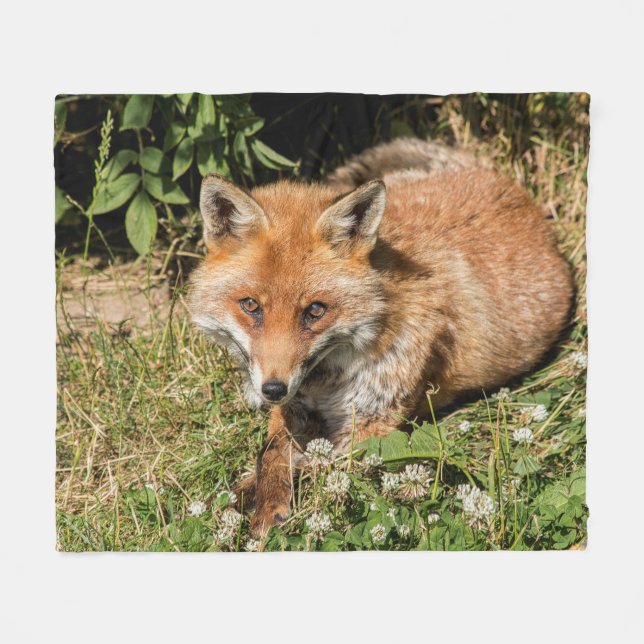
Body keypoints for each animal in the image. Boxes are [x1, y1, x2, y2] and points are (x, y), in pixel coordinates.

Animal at [188, 137, 573, 535]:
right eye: (250, 306)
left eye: (316, 311)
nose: (273, 389)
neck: (330, 377)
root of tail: (499, 179)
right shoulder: (293, 406)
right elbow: (271, 453)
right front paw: (250, 497)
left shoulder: (373, 426)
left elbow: (317, 468)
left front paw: (259, 509)